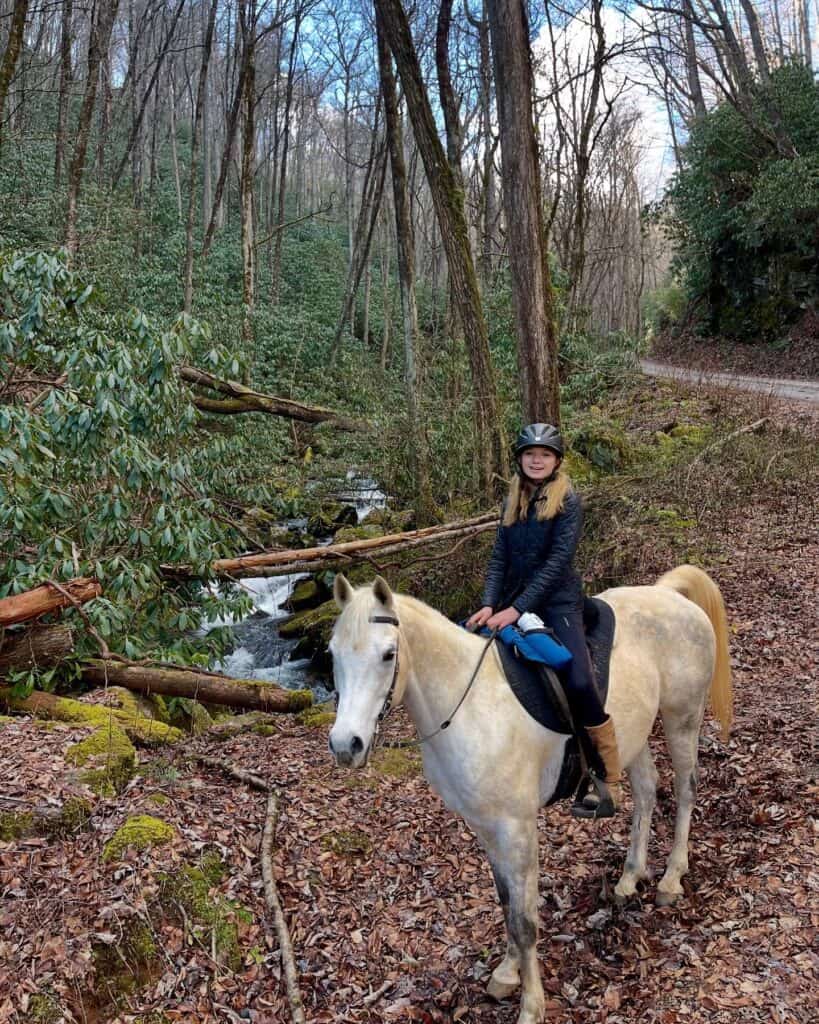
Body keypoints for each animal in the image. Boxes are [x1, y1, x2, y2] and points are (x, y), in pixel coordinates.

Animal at [327, 565, 733, 1024]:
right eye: (332, 654)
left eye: (388, 654)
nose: (346, 745)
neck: (469, 706)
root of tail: (670, 595)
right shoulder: (485, 828)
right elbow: (506, 903)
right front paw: (507, 972)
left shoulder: (517, 828)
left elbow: (525, 920)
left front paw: (531, 1006)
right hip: (634, 734)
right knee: (647, 790)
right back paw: (630, 877)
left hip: (683, 717)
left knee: (685, 789)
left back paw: (671, 877)